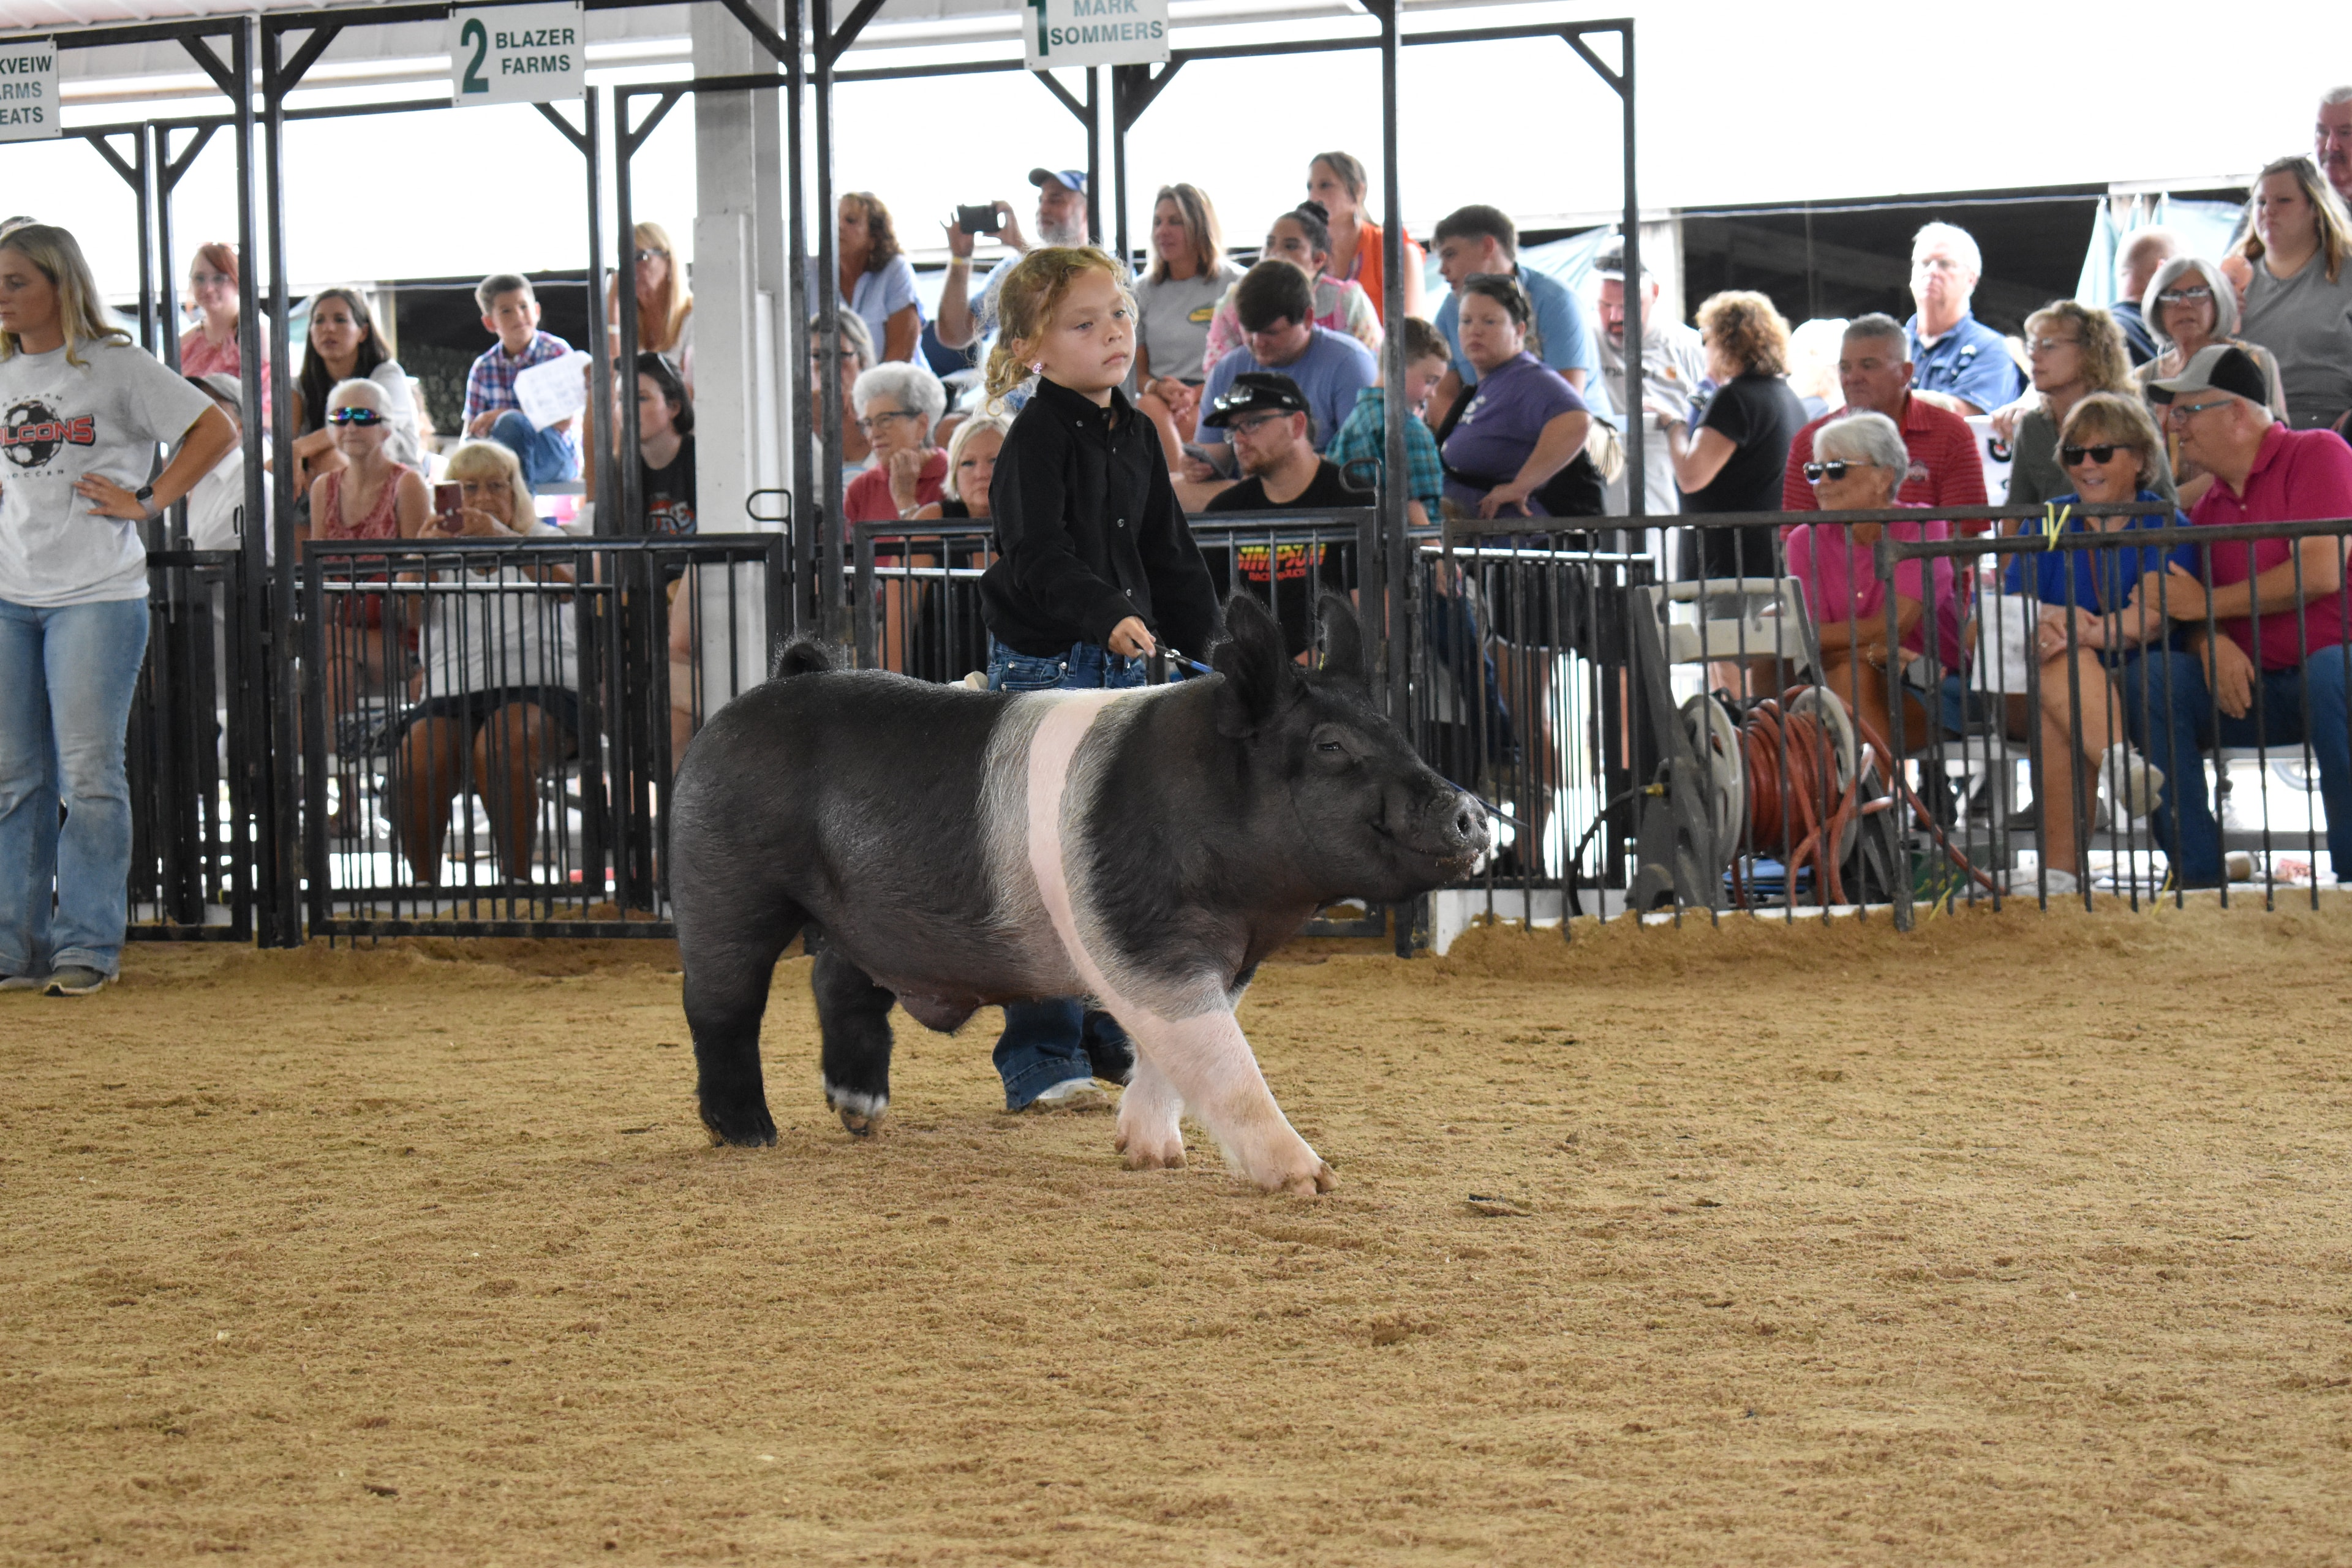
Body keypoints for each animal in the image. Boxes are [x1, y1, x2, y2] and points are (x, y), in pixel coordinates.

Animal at [666, 594, 1488, 1195]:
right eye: (1331, 748)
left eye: (1400, 733)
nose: (1473, 812)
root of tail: (770, 686)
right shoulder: (1144, 937)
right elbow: (1223, 1059)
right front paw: (1312, 1179)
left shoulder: (1216, 961)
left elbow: (1170, 1057)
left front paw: (1152, 1156)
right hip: (724, 880)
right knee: (721, 1006)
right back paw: (751, 1134)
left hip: (866, 914)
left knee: (839, 978)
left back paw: (862, 1115)